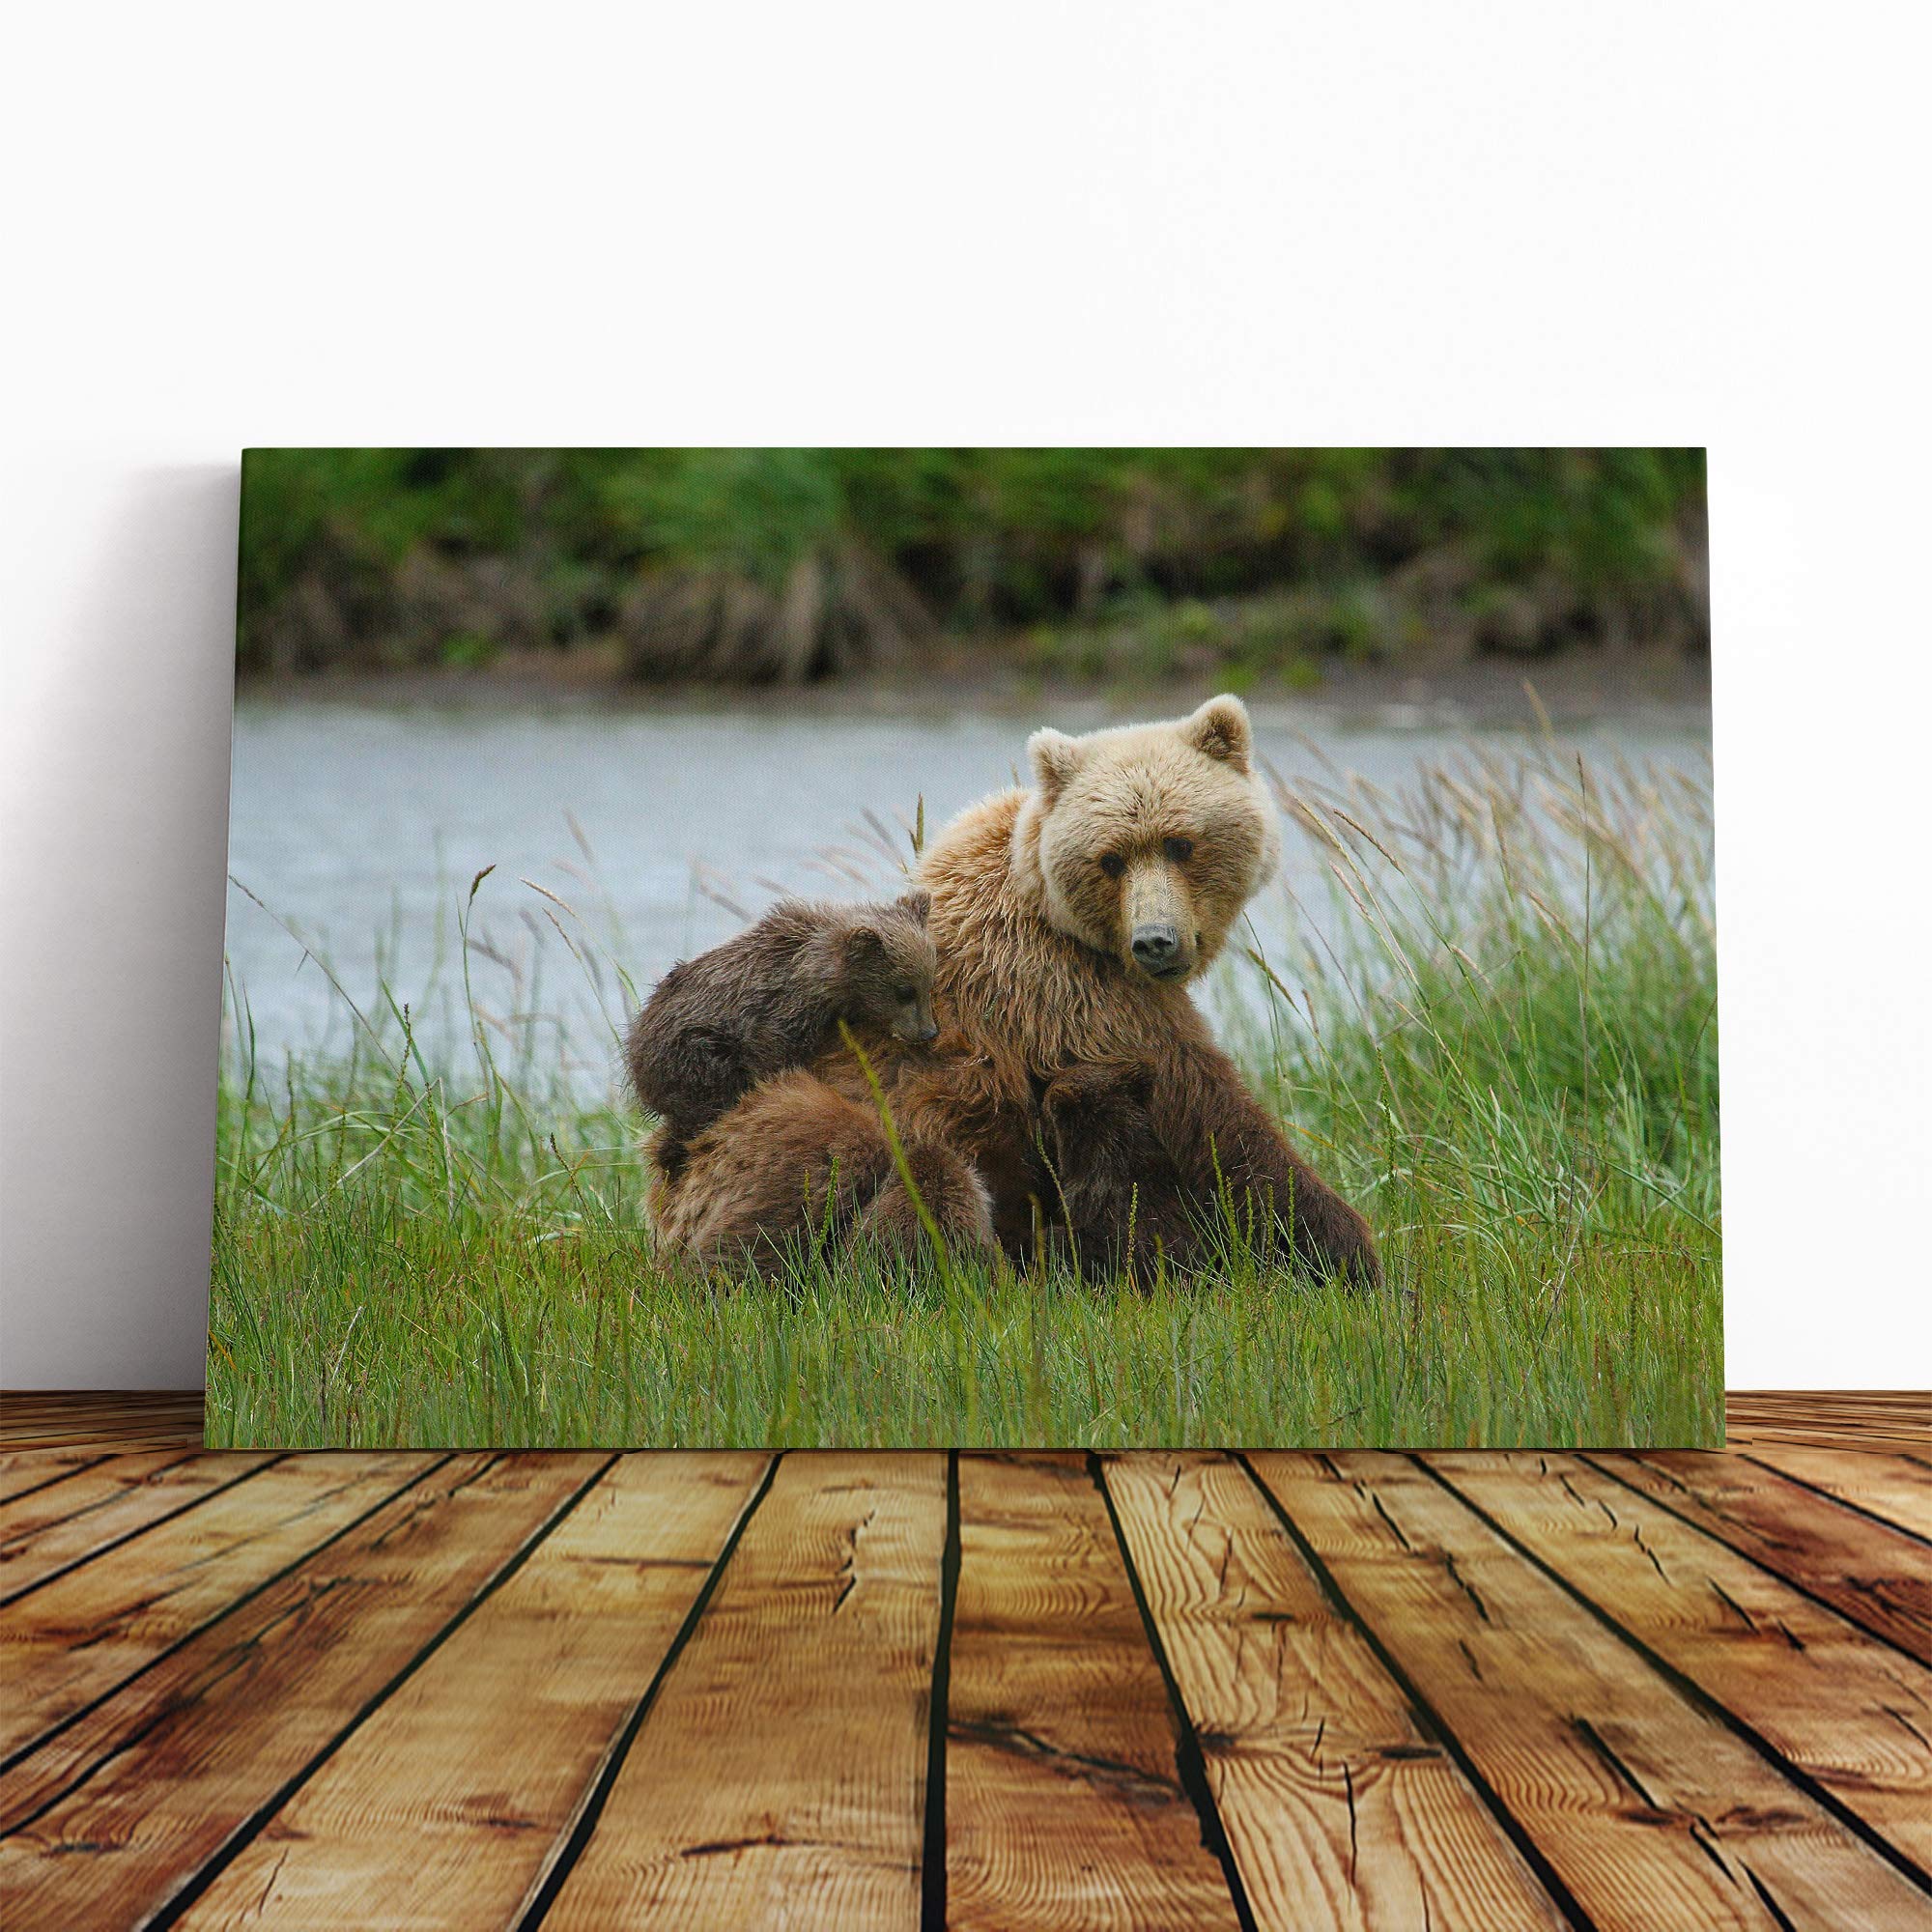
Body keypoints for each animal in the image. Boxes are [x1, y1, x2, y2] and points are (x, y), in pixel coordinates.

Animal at [624, 892, 940, 1186]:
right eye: (904, 991)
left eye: (928, 983)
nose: (928, 1032)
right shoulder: (776, 1012)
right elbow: (772, 1055)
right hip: (695, 1053)